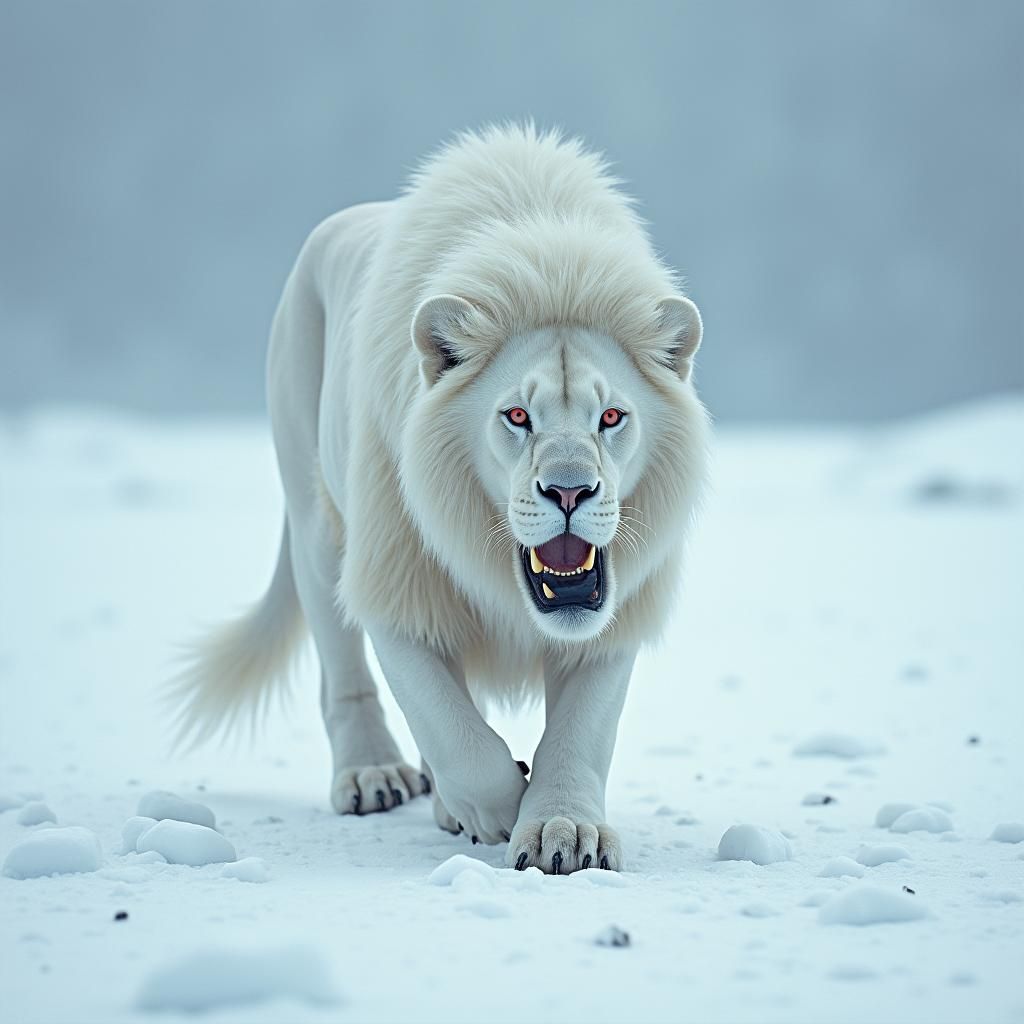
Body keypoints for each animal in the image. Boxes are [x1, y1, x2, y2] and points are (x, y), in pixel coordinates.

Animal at [171, 124, 710, 874]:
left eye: (611, 417)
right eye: (517, 416)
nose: (570, 489)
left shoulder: (613, 615)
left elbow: (581, 732)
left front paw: (562, 828)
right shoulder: (395, 576)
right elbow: (451, 728)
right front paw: (499, 805)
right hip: (318, 524)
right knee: (345, 669)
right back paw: (375, 777)